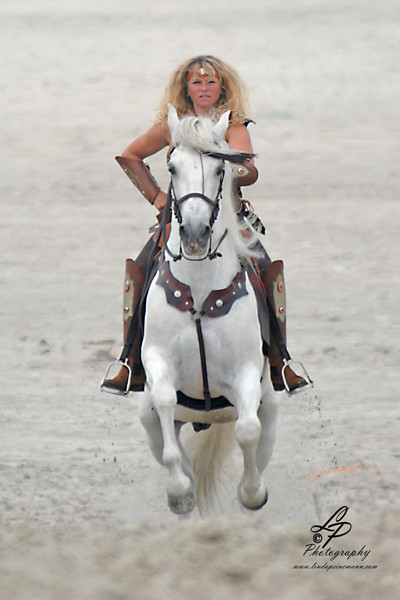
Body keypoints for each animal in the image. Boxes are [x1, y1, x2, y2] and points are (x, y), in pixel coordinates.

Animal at [139, 104, 280, 516]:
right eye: (172, 167)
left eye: (220, 169)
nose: (196, 235)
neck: (201, 295)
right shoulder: (156, 358)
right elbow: (165, 402)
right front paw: (179, 493)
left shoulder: (247, 371)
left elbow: (247, 430)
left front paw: (252, 494)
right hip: (147, 418)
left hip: (272, 408)